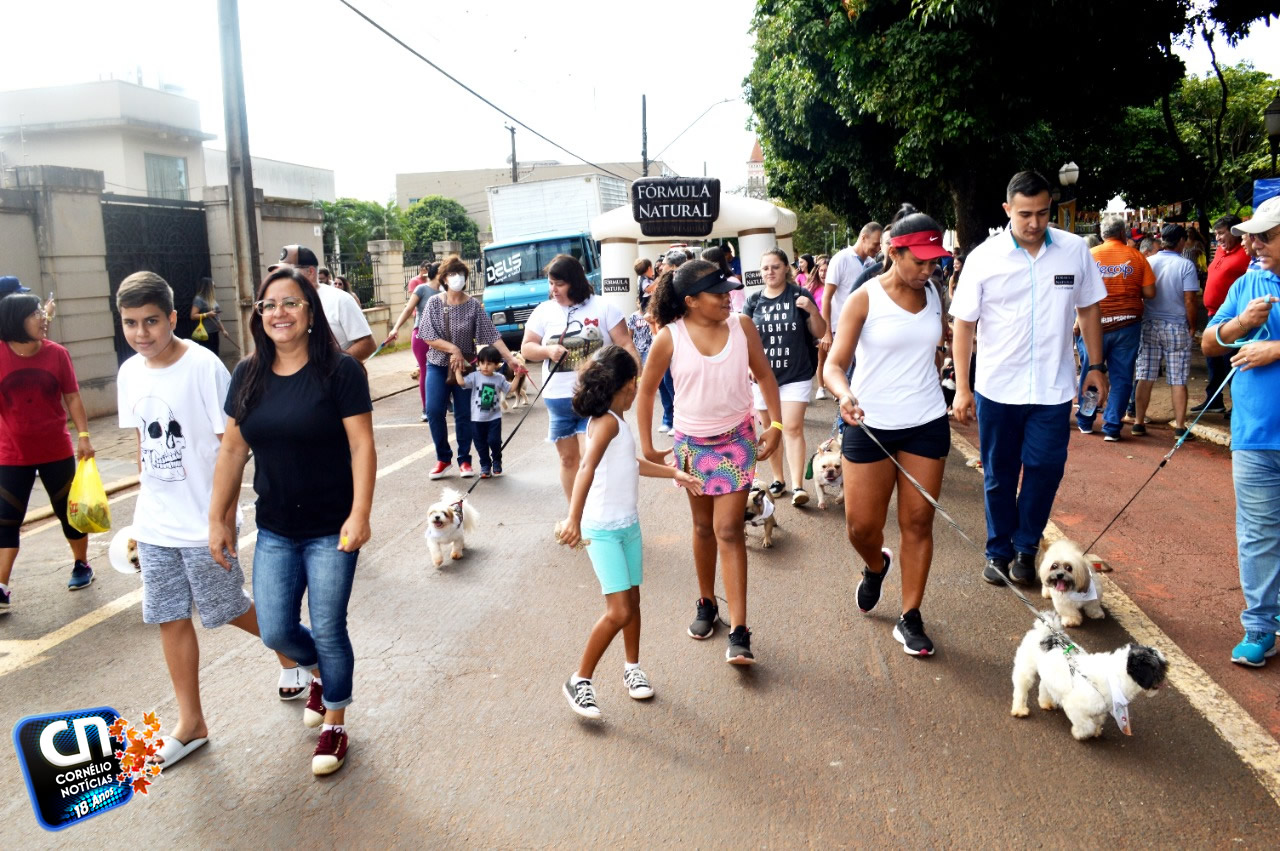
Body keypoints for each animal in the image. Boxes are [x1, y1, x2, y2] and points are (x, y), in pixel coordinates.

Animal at [1008, 614, 1172, 742]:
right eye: (1159, 669)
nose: (1163, 680)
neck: (1114, 677)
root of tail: (1047, 631)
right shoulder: (1074, 706)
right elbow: (1086, 725)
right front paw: (1080, 734)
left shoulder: (1100, 710)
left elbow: (1097, 721)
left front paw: (1096, 731)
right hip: (1025, 668)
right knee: (1021, 688)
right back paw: (1020, 709)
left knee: (1044, 685)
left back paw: (1046, 702)